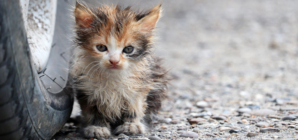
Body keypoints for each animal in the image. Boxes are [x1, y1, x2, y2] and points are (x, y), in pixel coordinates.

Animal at [71, 1, 166, 138]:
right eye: (101, 47)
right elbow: (93, 111)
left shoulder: (139, 86)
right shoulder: (87, 89)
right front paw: (97, 127)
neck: (112, 76)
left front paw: (131, 125)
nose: (114, 61)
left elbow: (134, 108)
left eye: (128, 49)